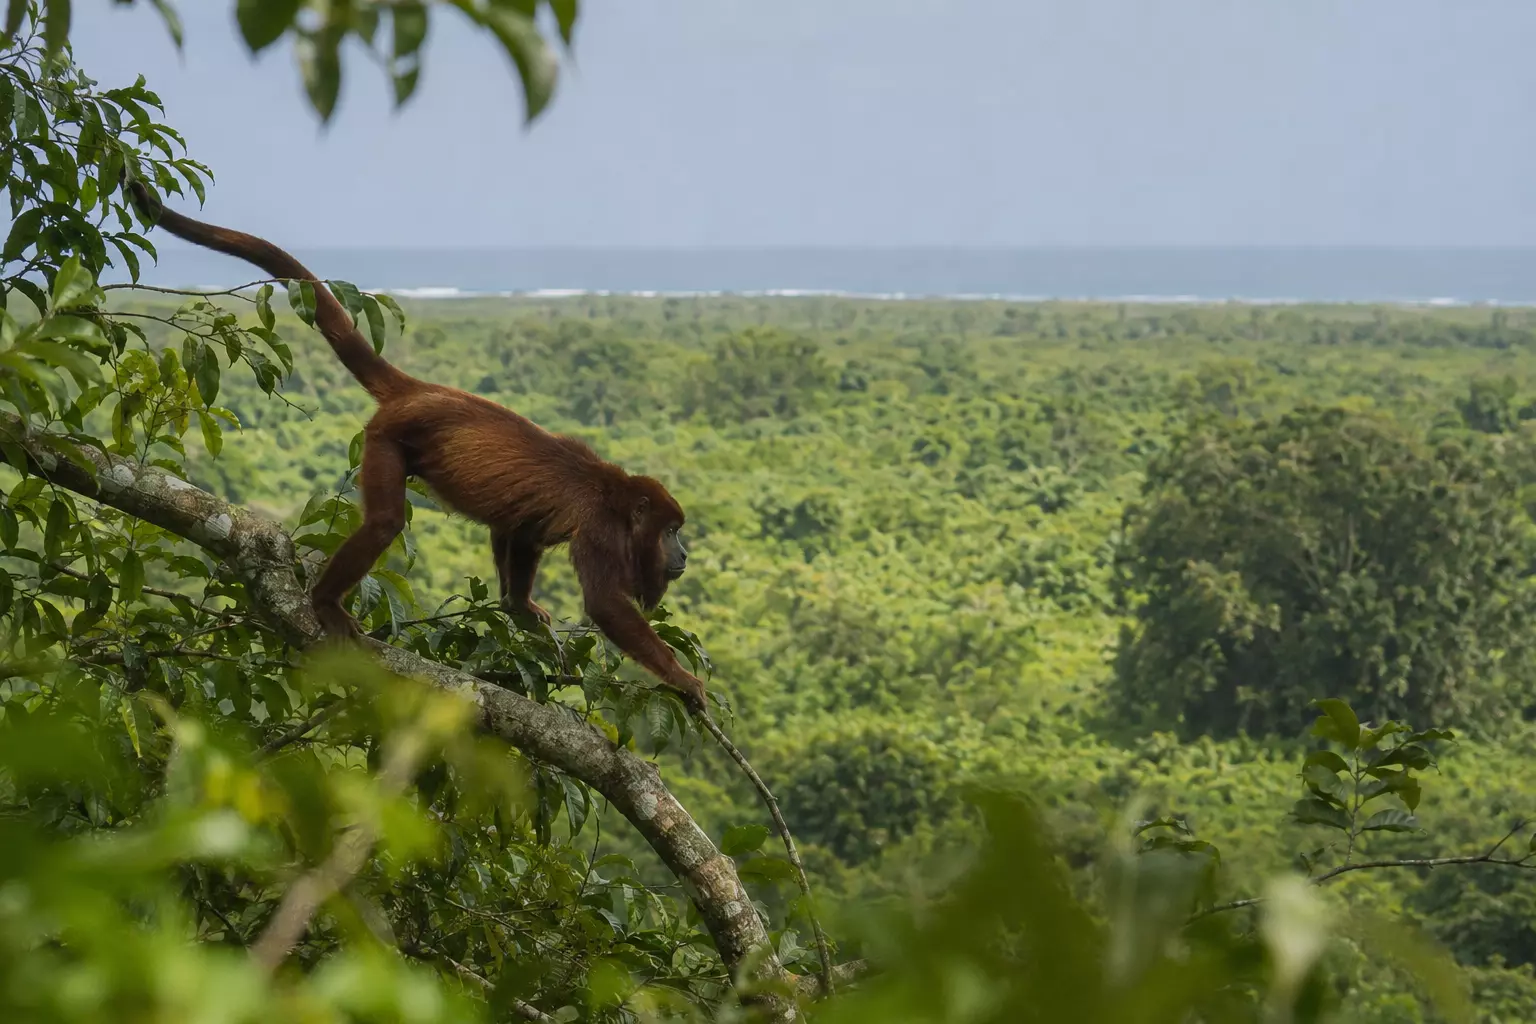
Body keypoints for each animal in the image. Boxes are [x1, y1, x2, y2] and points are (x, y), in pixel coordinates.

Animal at [124, 180, 709, 713]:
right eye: (672, 531)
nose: (684, 553)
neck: (620, 499)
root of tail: (418, 391)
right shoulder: (603, 531)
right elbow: (606, 604)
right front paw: (683, 678)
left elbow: (521, 530)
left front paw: (520, 606)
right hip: (385, 438)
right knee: (384, 522)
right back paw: (324, 602)